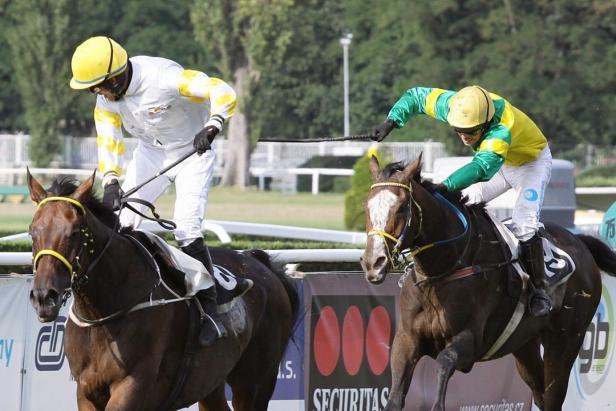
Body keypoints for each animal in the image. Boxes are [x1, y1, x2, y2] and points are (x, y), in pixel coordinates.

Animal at [26, 171, 300, 411]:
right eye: (32, 232)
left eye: (74, 233)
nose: (44, 297)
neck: (102, 313)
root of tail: (260, 262)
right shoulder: (87, 391)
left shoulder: (132, 386)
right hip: (211, 382)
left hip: (255, 383)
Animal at [358, 155, 616, 411]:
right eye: (366, 207)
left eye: (401, 207)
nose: (373, 262)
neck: (442, 271)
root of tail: (580, 241)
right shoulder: (406, 340)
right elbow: (395, 395)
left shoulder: (471, 339)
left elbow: (444, 361)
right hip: (525, 345)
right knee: (539, 391)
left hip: (566, 339)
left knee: (553, 394)